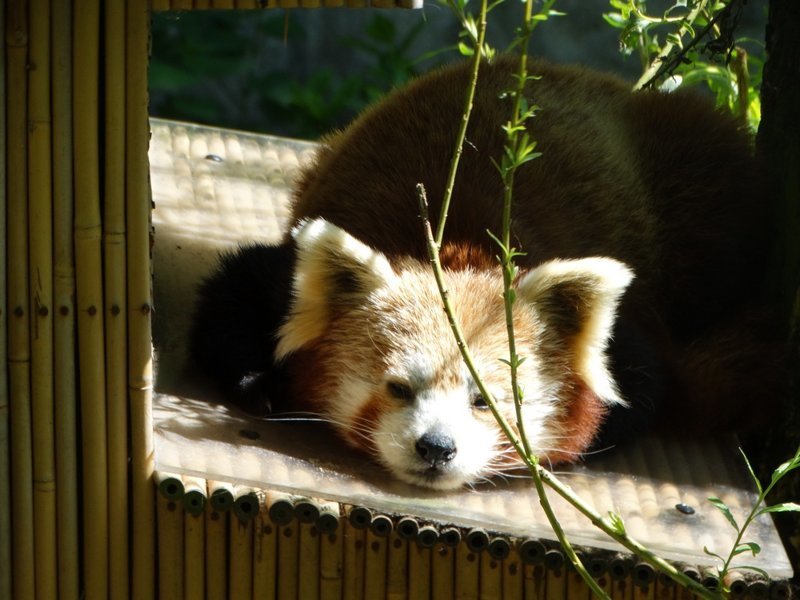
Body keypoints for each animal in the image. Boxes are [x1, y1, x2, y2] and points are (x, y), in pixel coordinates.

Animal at [192, 55, 780, 488]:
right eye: (398, 388)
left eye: (487, 402)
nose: (436, 447)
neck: (458, 247)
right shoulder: (287, 270)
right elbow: (233, 293)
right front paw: (260, 379)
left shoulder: (631, 339)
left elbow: (641, 388)